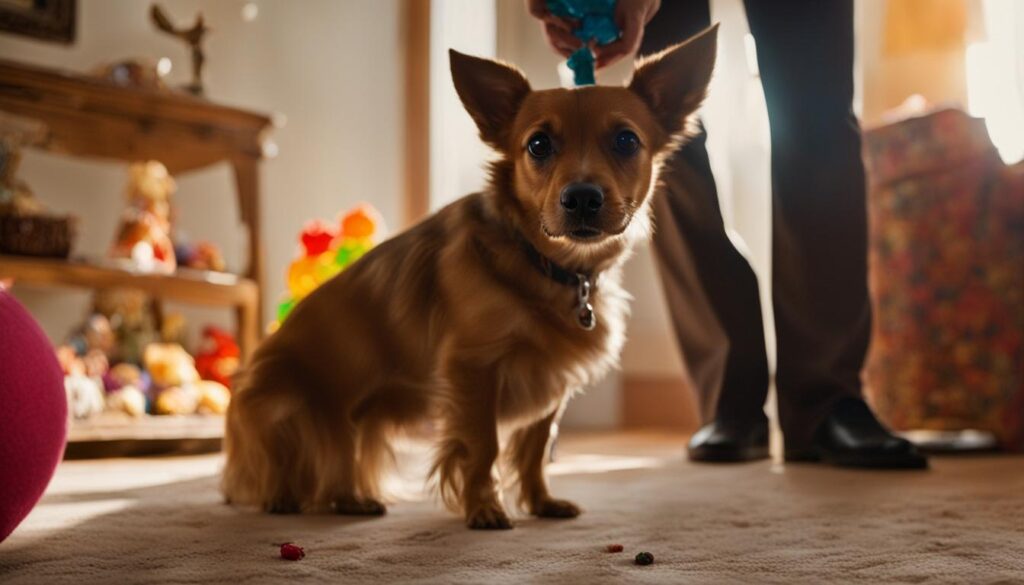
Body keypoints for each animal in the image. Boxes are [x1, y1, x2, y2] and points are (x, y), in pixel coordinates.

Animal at [222, 26, 720, 532]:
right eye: (538, 145)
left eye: (625, 140)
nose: (581, 197)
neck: (547, 266)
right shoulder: (474, 369)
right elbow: (483, 447)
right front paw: (484, 508)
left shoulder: (550, 379)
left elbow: (535, 450)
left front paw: (541, 502)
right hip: (283, 403)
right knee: (280, 470)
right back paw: (282, 496)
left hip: (362, 423)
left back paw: (351, 498)